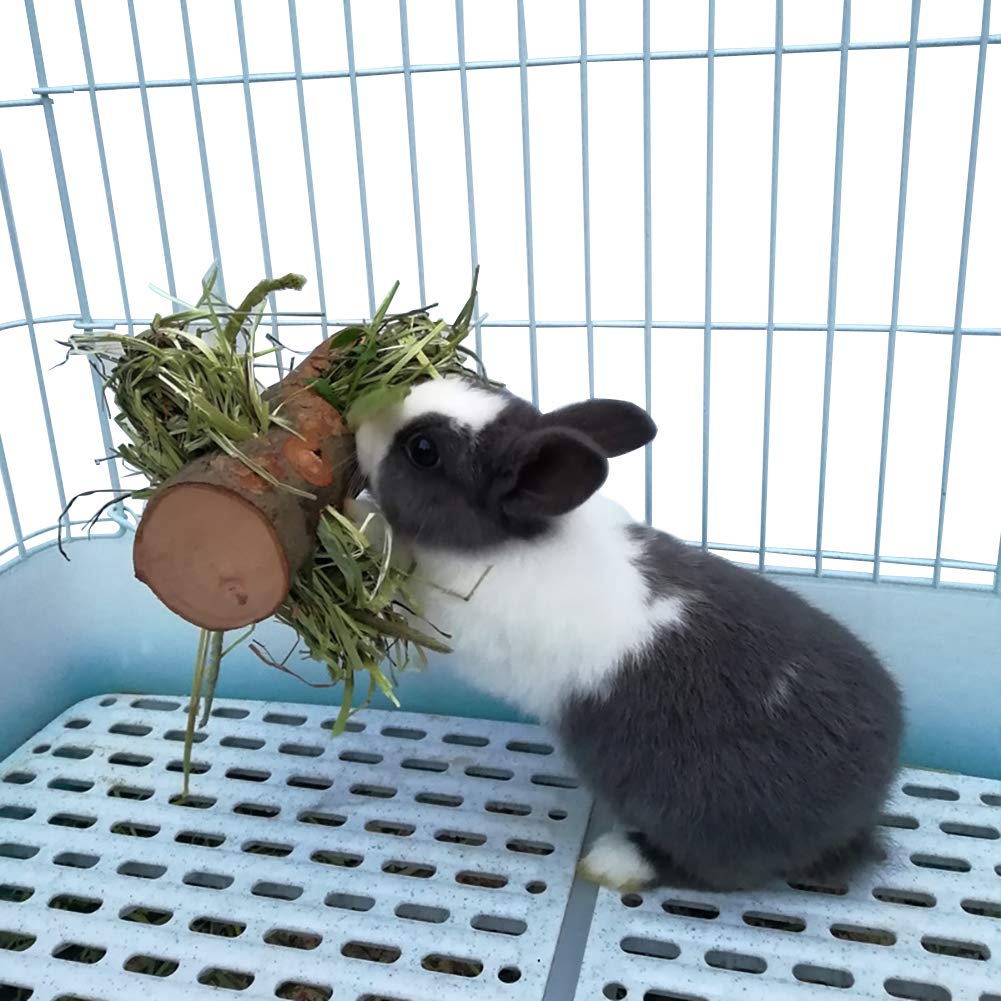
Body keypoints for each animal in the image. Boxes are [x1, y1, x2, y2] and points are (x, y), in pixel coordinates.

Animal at [354, 374, 904, 891]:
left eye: (423, 450)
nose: (360, 421)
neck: (516, 536)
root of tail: (858, 816)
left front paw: (359, 521)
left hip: (701, 818)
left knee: (713, 872)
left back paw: (615, 862)